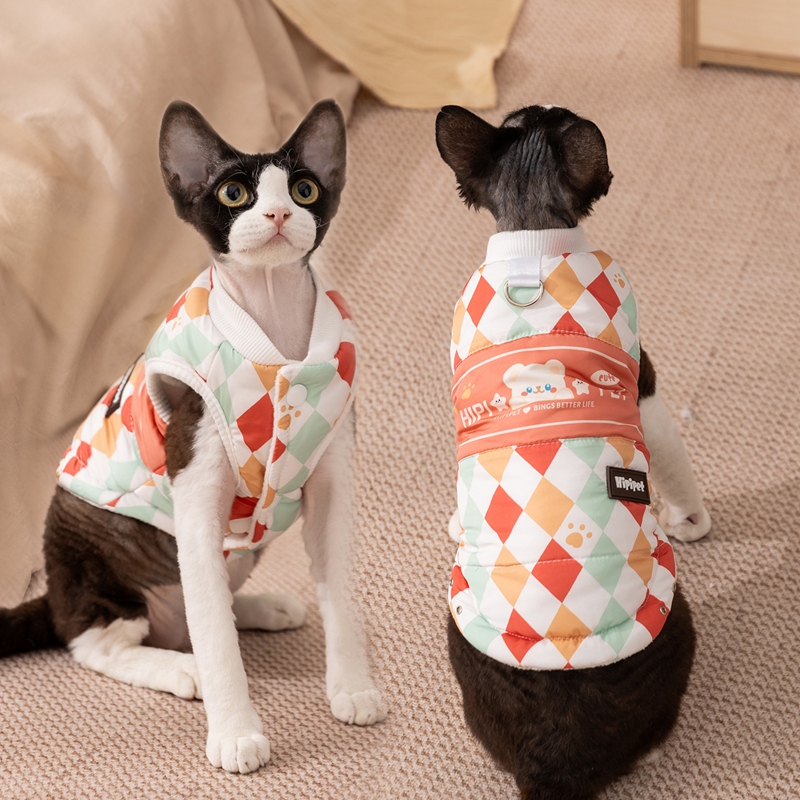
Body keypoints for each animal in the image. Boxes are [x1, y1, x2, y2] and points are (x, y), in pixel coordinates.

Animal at [0, 99, 385, 774]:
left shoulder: (332, 480)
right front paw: (235, 733)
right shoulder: (196, 489)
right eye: (234, 193)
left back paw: (260, 609)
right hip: (90, 551)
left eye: (305, 189)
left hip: (240, 550)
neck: (274, 329)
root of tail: (56, 596)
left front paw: (352, 688)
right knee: (98, 641)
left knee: (203, 603)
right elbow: (214, 638)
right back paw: (184, 670)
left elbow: (338, 588)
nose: (278, 213)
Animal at [437, 104, 711, 800]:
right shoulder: (644, 384)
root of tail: (554, 761)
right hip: (675, 619)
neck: (532, 238)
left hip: (458, 631)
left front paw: (457, 520)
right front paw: (691, 519)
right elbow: (674, 461)